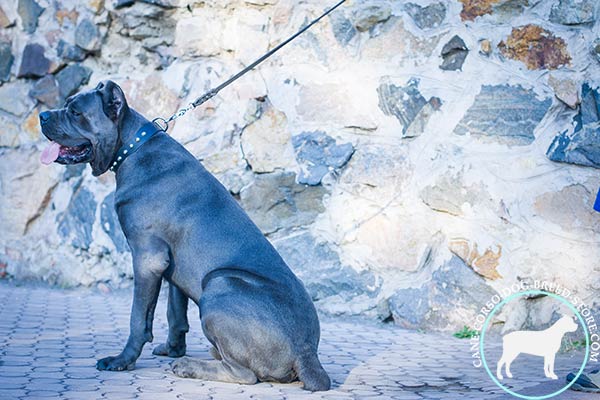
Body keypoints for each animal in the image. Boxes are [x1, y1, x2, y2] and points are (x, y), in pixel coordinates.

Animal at [39, 80, 330, 390]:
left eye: (75, 112)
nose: (42, 116)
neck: (133, 148)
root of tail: (306, 352)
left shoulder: (147, 258)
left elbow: (138, 318)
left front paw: (122, 360)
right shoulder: (170, 265)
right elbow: (174, 312)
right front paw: (172, 348)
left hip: (219, 282)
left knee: (245, 375)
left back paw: (189, 366)